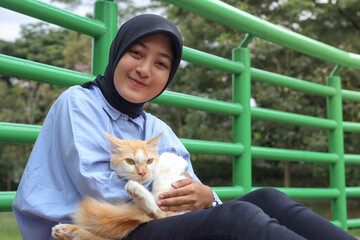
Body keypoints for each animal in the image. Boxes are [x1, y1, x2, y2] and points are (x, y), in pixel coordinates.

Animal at [52, 132, 190, 239]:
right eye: (130, 161)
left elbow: (163, 176)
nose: (142, 172)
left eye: (149, 161)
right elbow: (159, 196)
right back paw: (68, 232)